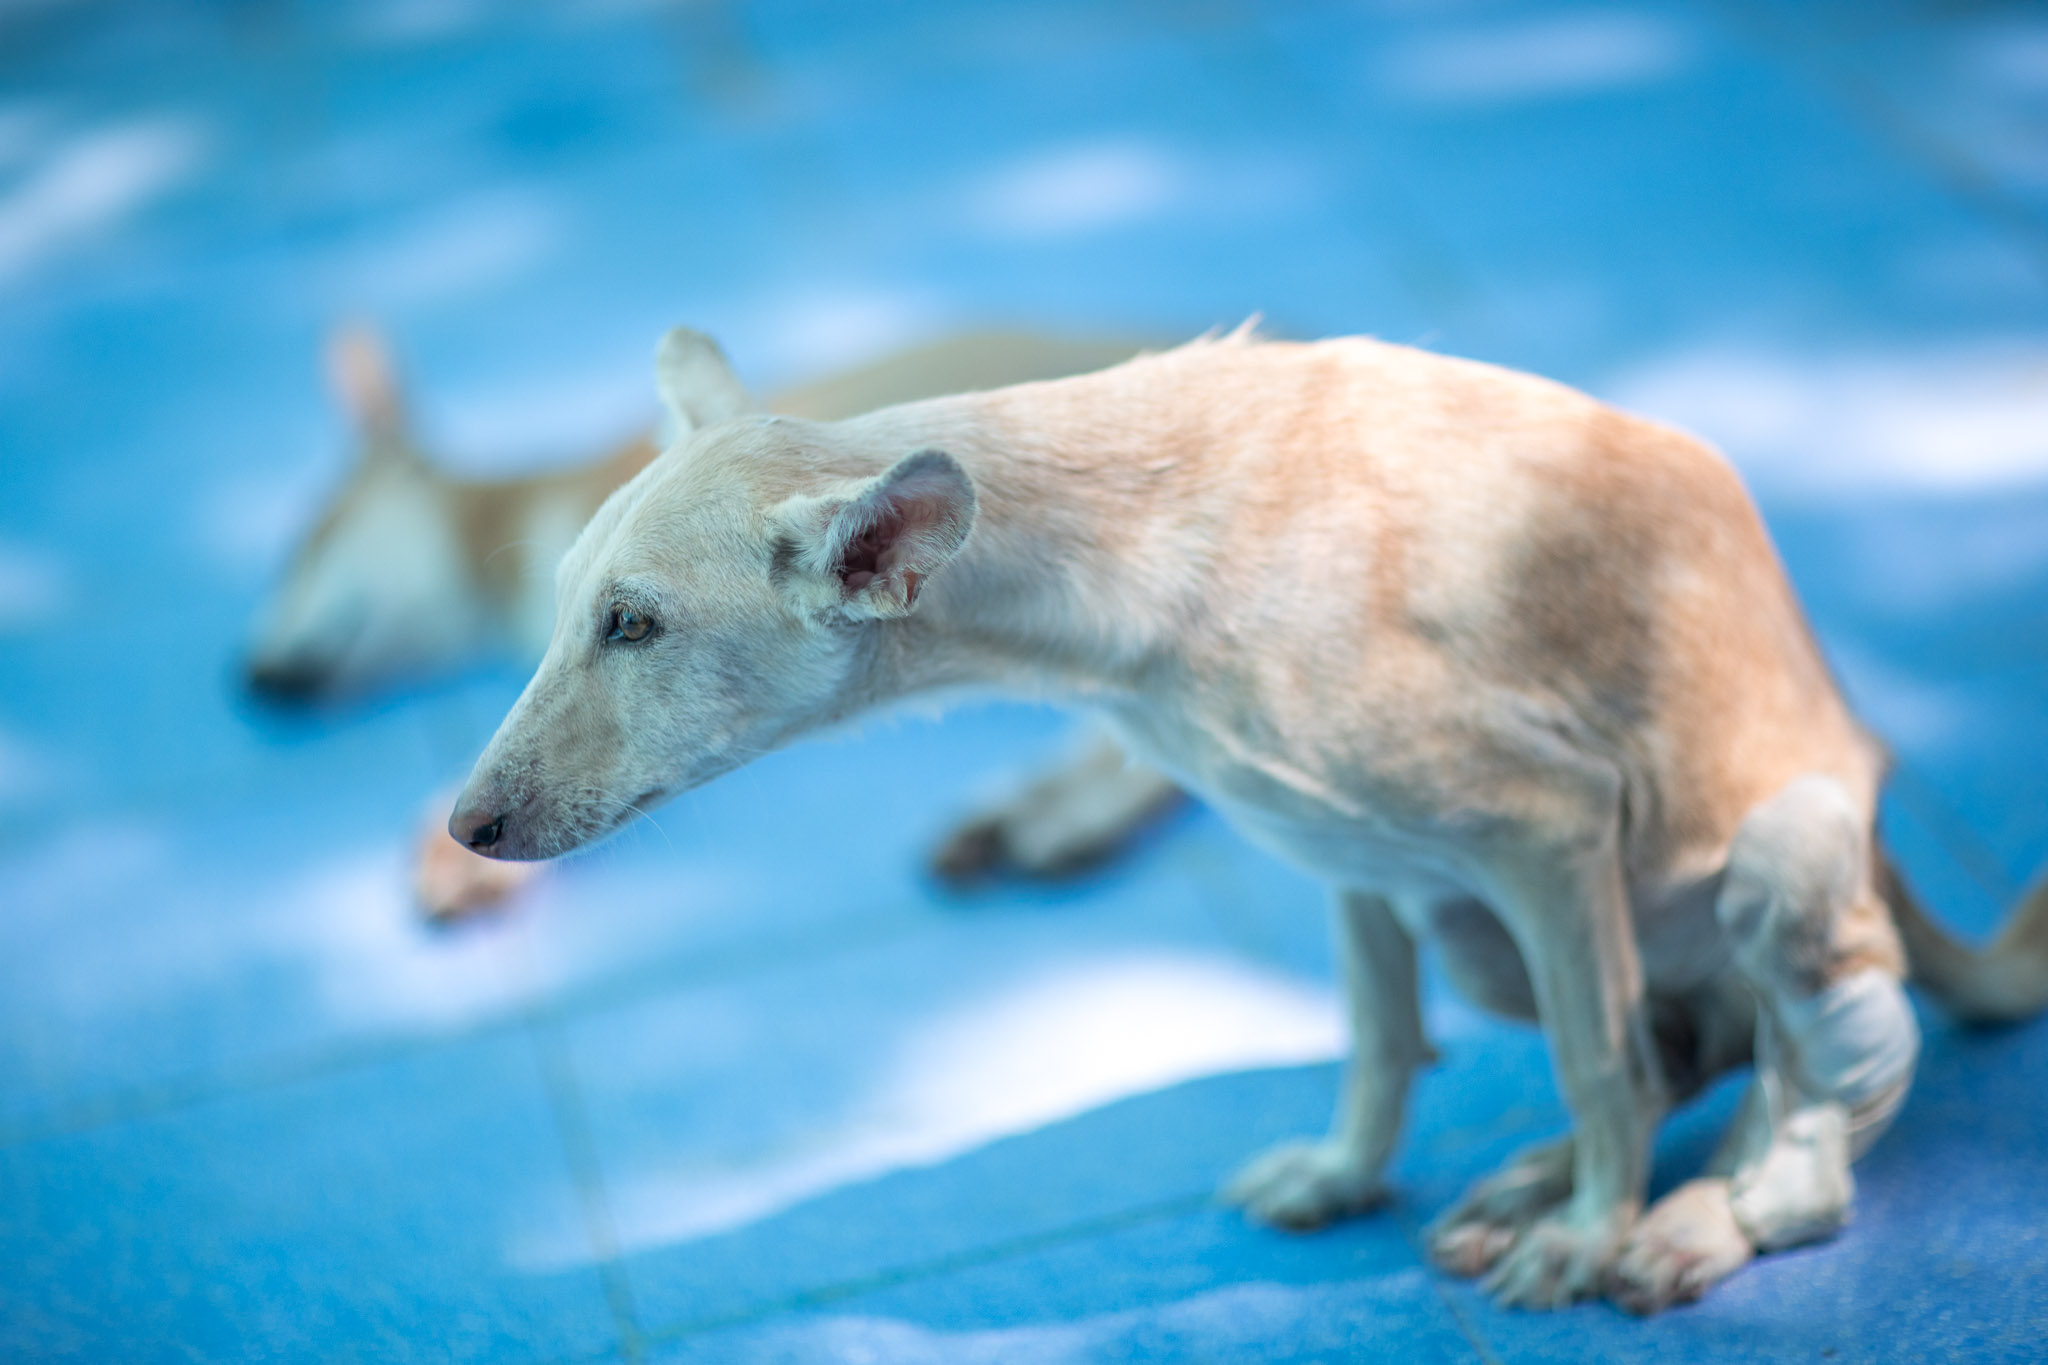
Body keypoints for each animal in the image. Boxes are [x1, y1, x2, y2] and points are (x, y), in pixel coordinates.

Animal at [447, 325, 2048, 1310]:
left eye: (634, 624)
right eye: (565, 608)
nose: (463, 828)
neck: (1130, 568)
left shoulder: (1546, 826)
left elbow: (1599, 1068)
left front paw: (1594, 1231)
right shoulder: (1360, 866)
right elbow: (1383, 1046)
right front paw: (1349, 1181)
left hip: (1778, 861)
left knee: (1816, 1086)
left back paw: (1702, 1215)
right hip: (1481, 930)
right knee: (1698, 1043)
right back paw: (1530, 1186)